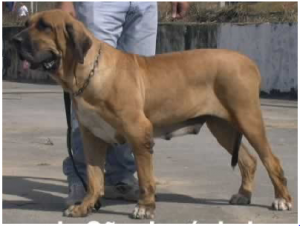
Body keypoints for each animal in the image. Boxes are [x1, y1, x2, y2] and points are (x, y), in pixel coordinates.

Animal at [12, 9, 292, 218]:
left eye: (45, 26)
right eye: (27, 24)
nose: (14, 40)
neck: (89, 71)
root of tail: (249, 61)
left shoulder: (139, 133)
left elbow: (146, 177)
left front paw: (145, 208)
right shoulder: (92, 138)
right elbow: (93, 177)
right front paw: (85, 206)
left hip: (248, 119)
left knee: (271, 160)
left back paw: (282, 200)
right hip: (221, 126)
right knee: (249, 160)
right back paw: (243, 195)